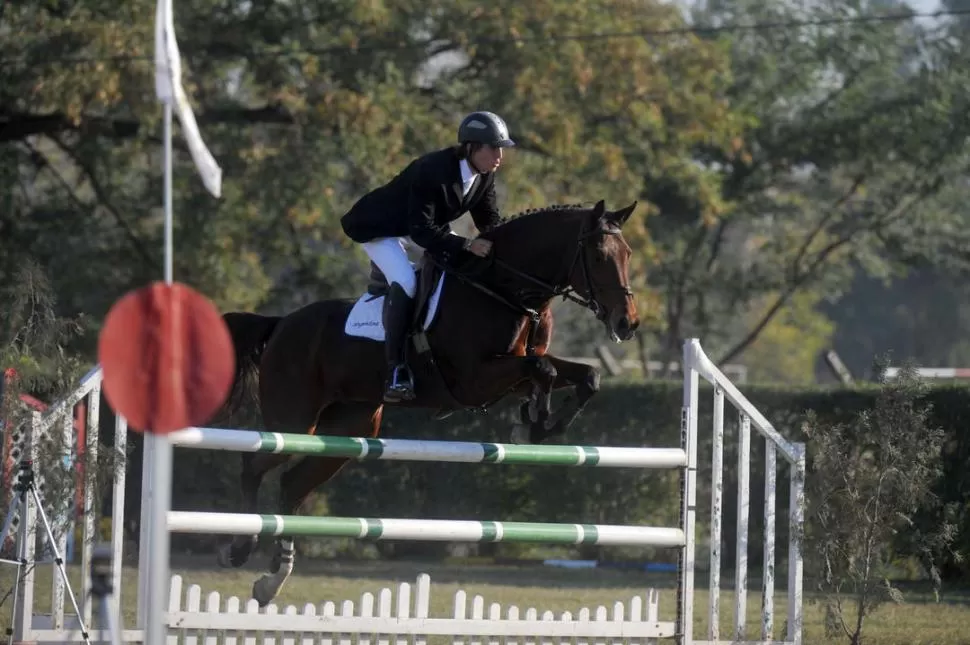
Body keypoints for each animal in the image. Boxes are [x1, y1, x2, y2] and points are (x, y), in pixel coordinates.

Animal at [213, 197, 640, 604]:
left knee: (292, 485)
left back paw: (272, 580)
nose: (628, 323)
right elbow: (544, 370)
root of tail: (280, 324)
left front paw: (537, 424)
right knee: (254, 465)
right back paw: (239, 546)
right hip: (294, 421)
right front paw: (534, 421)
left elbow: (585, 375)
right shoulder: (475, 379)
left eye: (628, 254)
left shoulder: (511, 373)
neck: (503, 290)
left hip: (348, 429)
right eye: (598, 257)